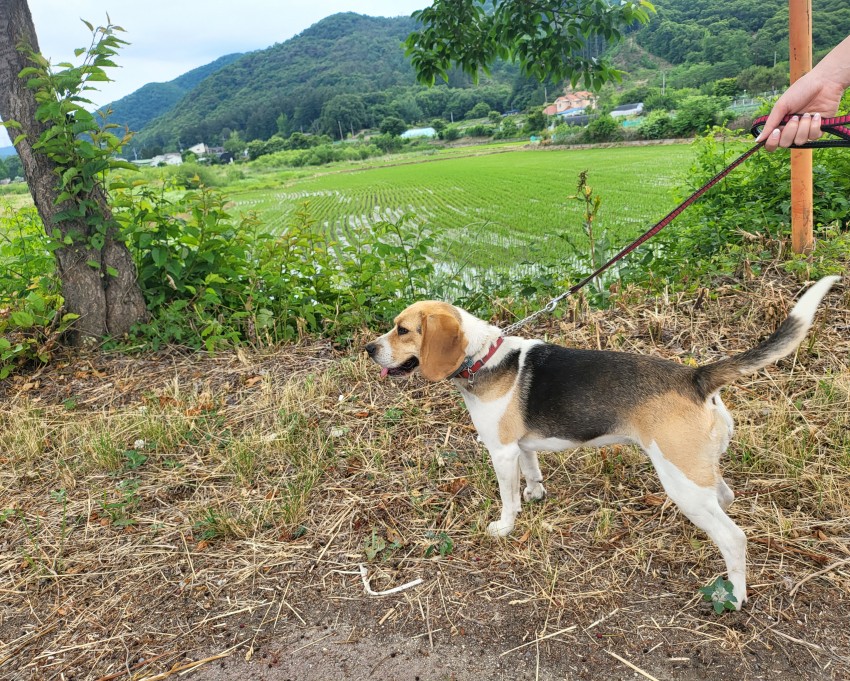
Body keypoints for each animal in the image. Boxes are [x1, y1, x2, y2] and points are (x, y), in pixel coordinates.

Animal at [368, 276, 840, 604]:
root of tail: (695, 377)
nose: (369, 349)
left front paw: (505, 526)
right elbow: (531, 474)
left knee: (733, 538)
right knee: (724, 497)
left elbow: (508, 497)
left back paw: (736, 595)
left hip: (679, 478)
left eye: (403, 330)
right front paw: (536, 496)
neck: (481, 357)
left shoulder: (500, 452)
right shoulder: (521, 448)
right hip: (696, 471)